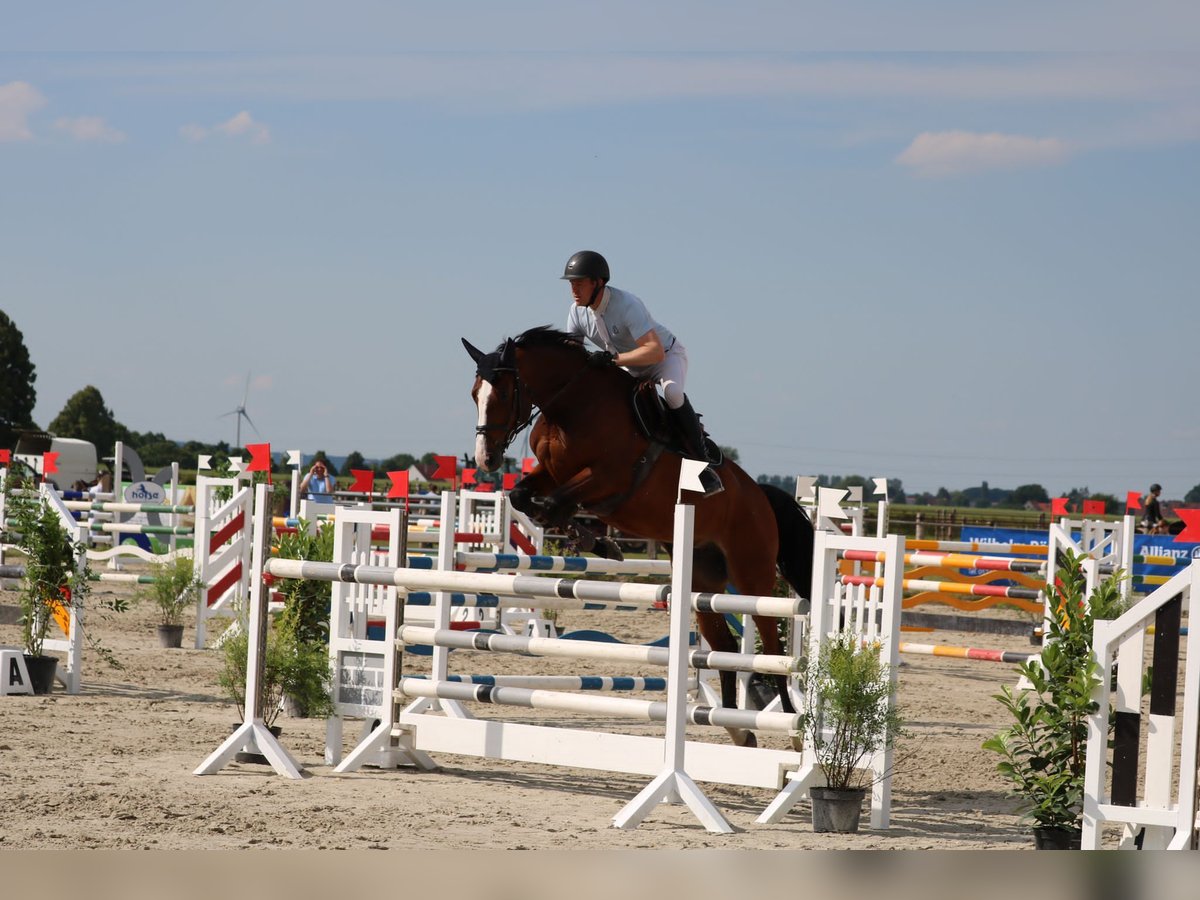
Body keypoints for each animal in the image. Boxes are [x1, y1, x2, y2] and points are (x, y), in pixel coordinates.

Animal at [458, 326, 816, 748]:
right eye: (474, 394)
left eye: (501, 393)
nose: (486, 459)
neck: (572, 406)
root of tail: (761, 495)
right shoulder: (550, 473)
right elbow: (523, 497)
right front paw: (594, 540)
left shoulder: (607, 478)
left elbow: (555, 503)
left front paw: (595, 539)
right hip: (702, 582)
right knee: (725, 649)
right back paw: (737, 728)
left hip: (751, 576)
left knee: (772, 649)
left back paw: (792, 729)